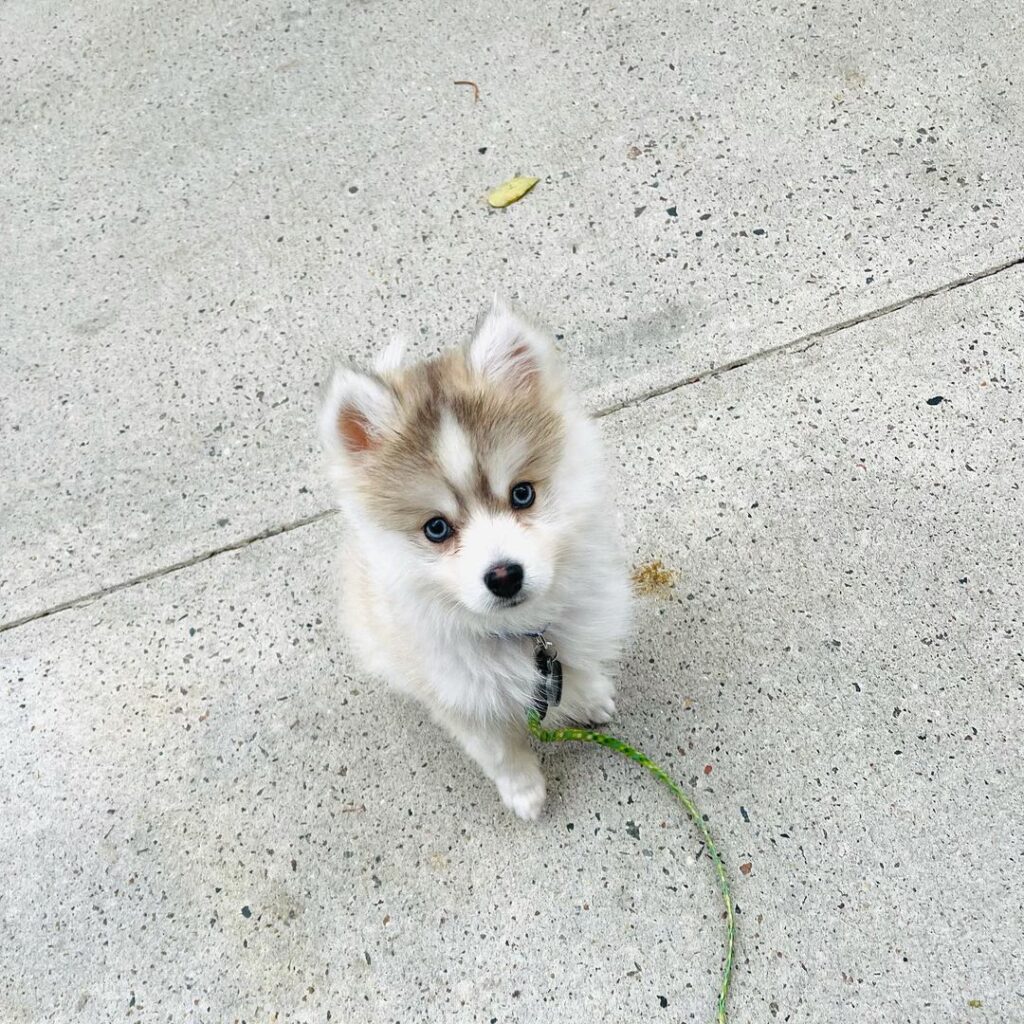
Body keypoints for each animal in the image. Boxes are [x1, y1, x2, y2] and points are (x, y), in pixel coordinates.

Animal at [317, 299, 630, 819]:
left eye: (522, 494)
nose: (503, 576)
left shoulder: (569, 633)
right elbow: (500, 751)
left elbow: (577, 665)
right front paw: (525, 792)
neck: (519, 635)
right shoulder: (459, 697)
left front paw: (588, 698)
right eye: (436, 528)